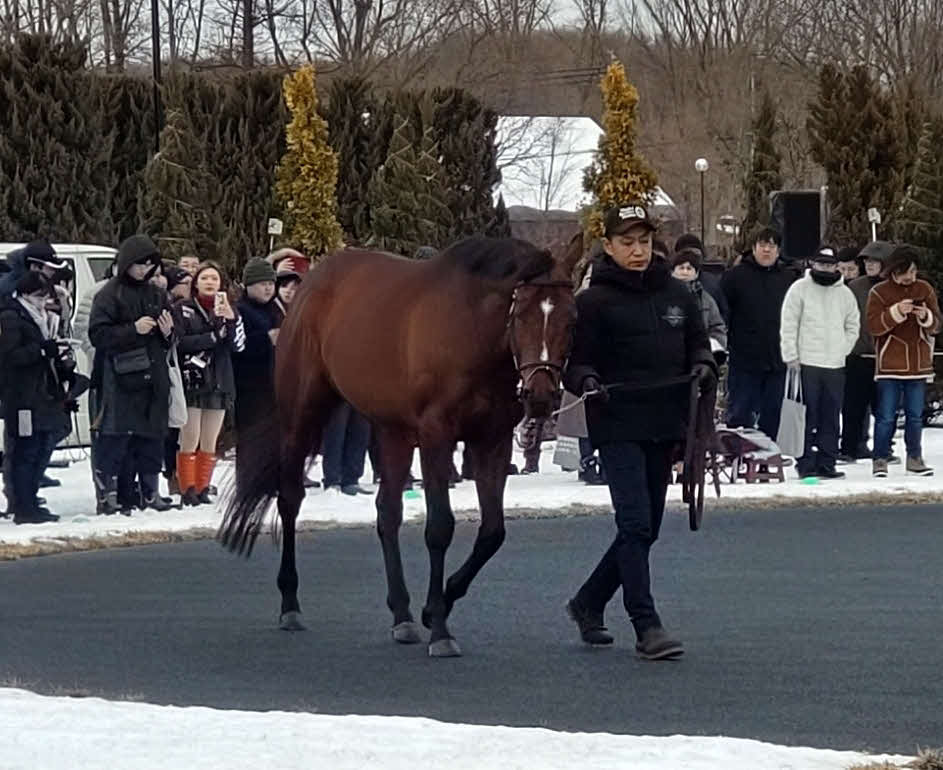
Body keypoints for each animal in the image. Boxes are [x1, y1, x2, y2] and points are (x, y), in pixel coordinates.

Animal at [219, 234, 583, 657]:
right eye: (521, 315)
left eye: (571, 318)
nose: (540, 396)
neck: (471, 332)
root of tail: (313, 281)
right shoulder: (435, 435)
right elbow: (440, 527)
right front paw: (440, 627)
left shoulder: (492, 440)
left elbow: (493, 532)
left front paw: (433, 606)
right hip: (302, 412)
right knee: (290, 498)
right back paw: (290, 604)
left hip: (391, 429)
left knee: (387, 512)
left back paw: (402, 614)